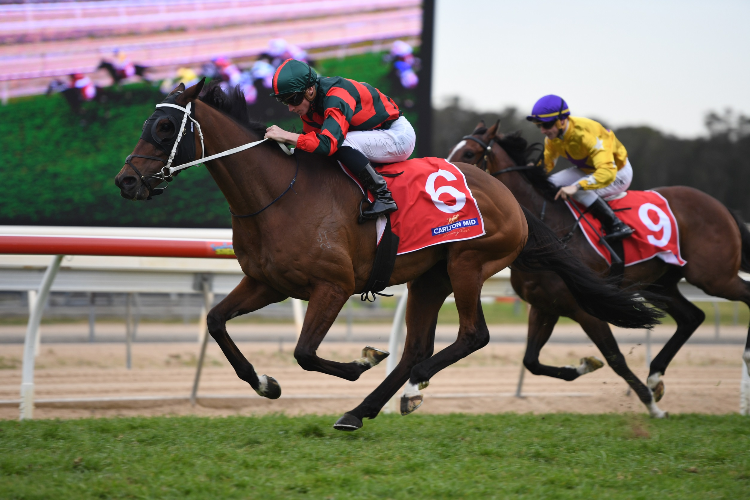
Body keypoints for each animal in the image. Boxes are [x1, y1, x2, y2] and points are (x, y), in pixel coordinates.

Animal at [114, 82, 668, 430]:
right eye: (146, 123)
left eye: (163, 129)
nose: (126, 181)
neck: (278, 194)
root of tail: (514, 200)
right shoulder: (266, 283)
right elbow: (216, 322)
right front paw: (265, 384)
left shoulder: (332, 286)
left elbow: (306, 352)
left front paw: (362, 359)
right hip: (429, 279)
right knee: (416, 349)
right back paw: (361, 411)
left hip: (468, 265)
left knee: (472, 336)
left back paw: (406, 390)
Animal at [450, 121, 750, 414]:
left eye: (468, 153)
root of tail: (721, 206)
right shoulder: (544, 306)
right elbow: (531, 360)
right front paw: (585, 366)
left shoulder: (585, 307)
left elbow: (615, 357)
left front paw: (651, 406)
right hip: (660, 284)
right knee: (692, 317)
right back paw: (655, 376)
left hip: (713, 276)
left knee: (742, 295)